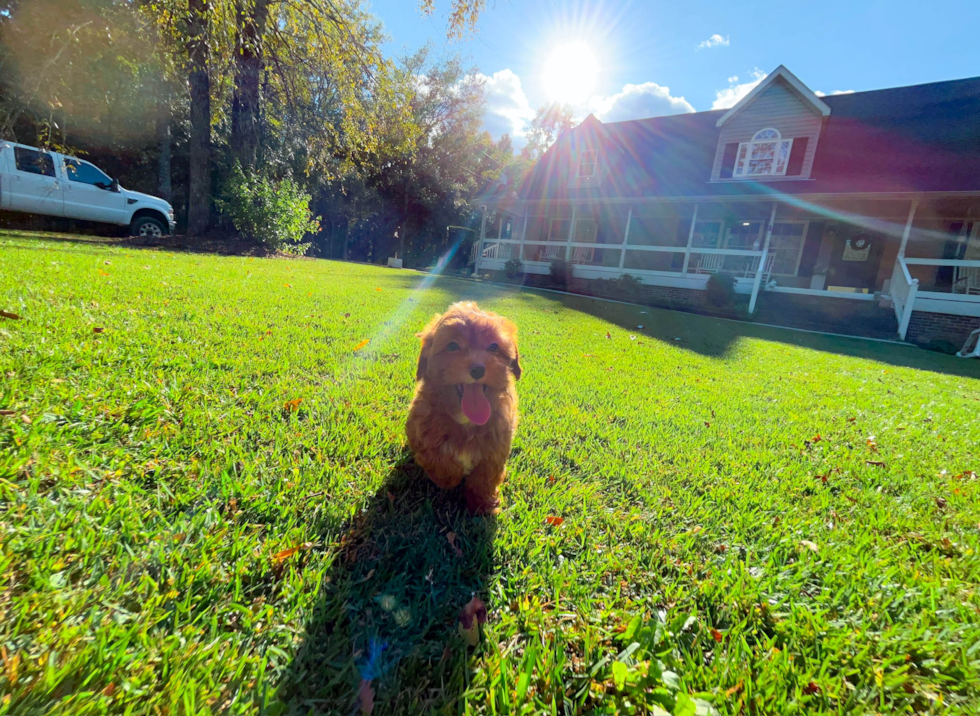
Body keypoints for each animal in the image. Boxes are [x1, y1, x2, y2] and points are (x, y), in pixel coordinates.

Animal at [406, 302, 520, 516]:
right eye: (452, 346)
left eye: (494, 347)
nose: (477, 369)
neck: (466, 421)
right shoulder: (422, 433)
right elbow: (440, 463)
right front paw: (451, 478)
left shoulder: (496, 450)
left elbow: (484, 479)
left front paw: (483, 503)